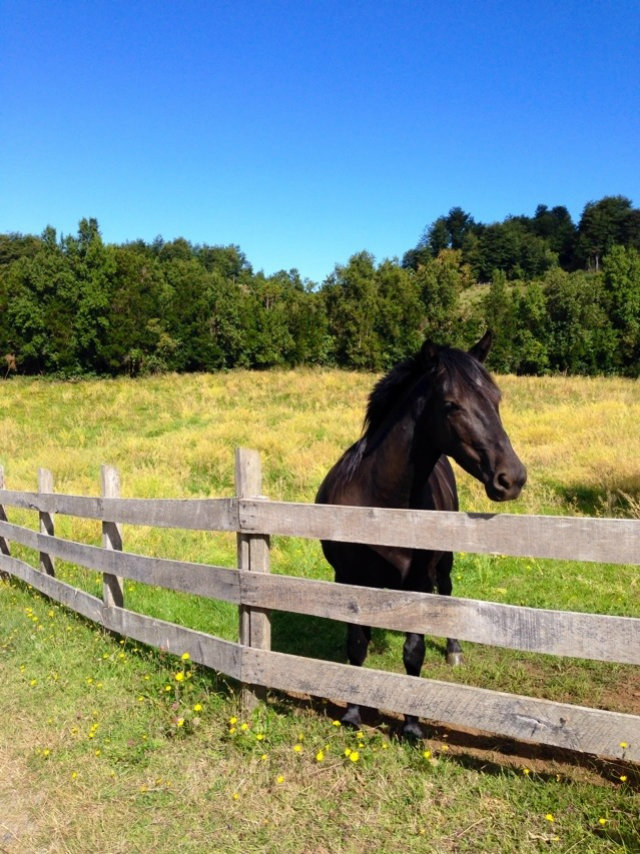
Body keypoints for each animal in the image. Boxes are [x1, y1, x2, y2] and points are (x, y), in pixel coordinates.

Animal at [318, 332, 528, 740]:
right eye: (451, 404)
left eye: (496, 398)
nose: (511, 478)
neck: (382, 504)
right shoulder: (348, 579)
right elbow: (356, 644)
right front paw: (352, 713)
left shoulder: (419, 581)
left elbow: (414, 652)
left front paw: (412, 726)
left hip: (443, 564)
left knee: (446, 594)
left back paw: (454, 650)